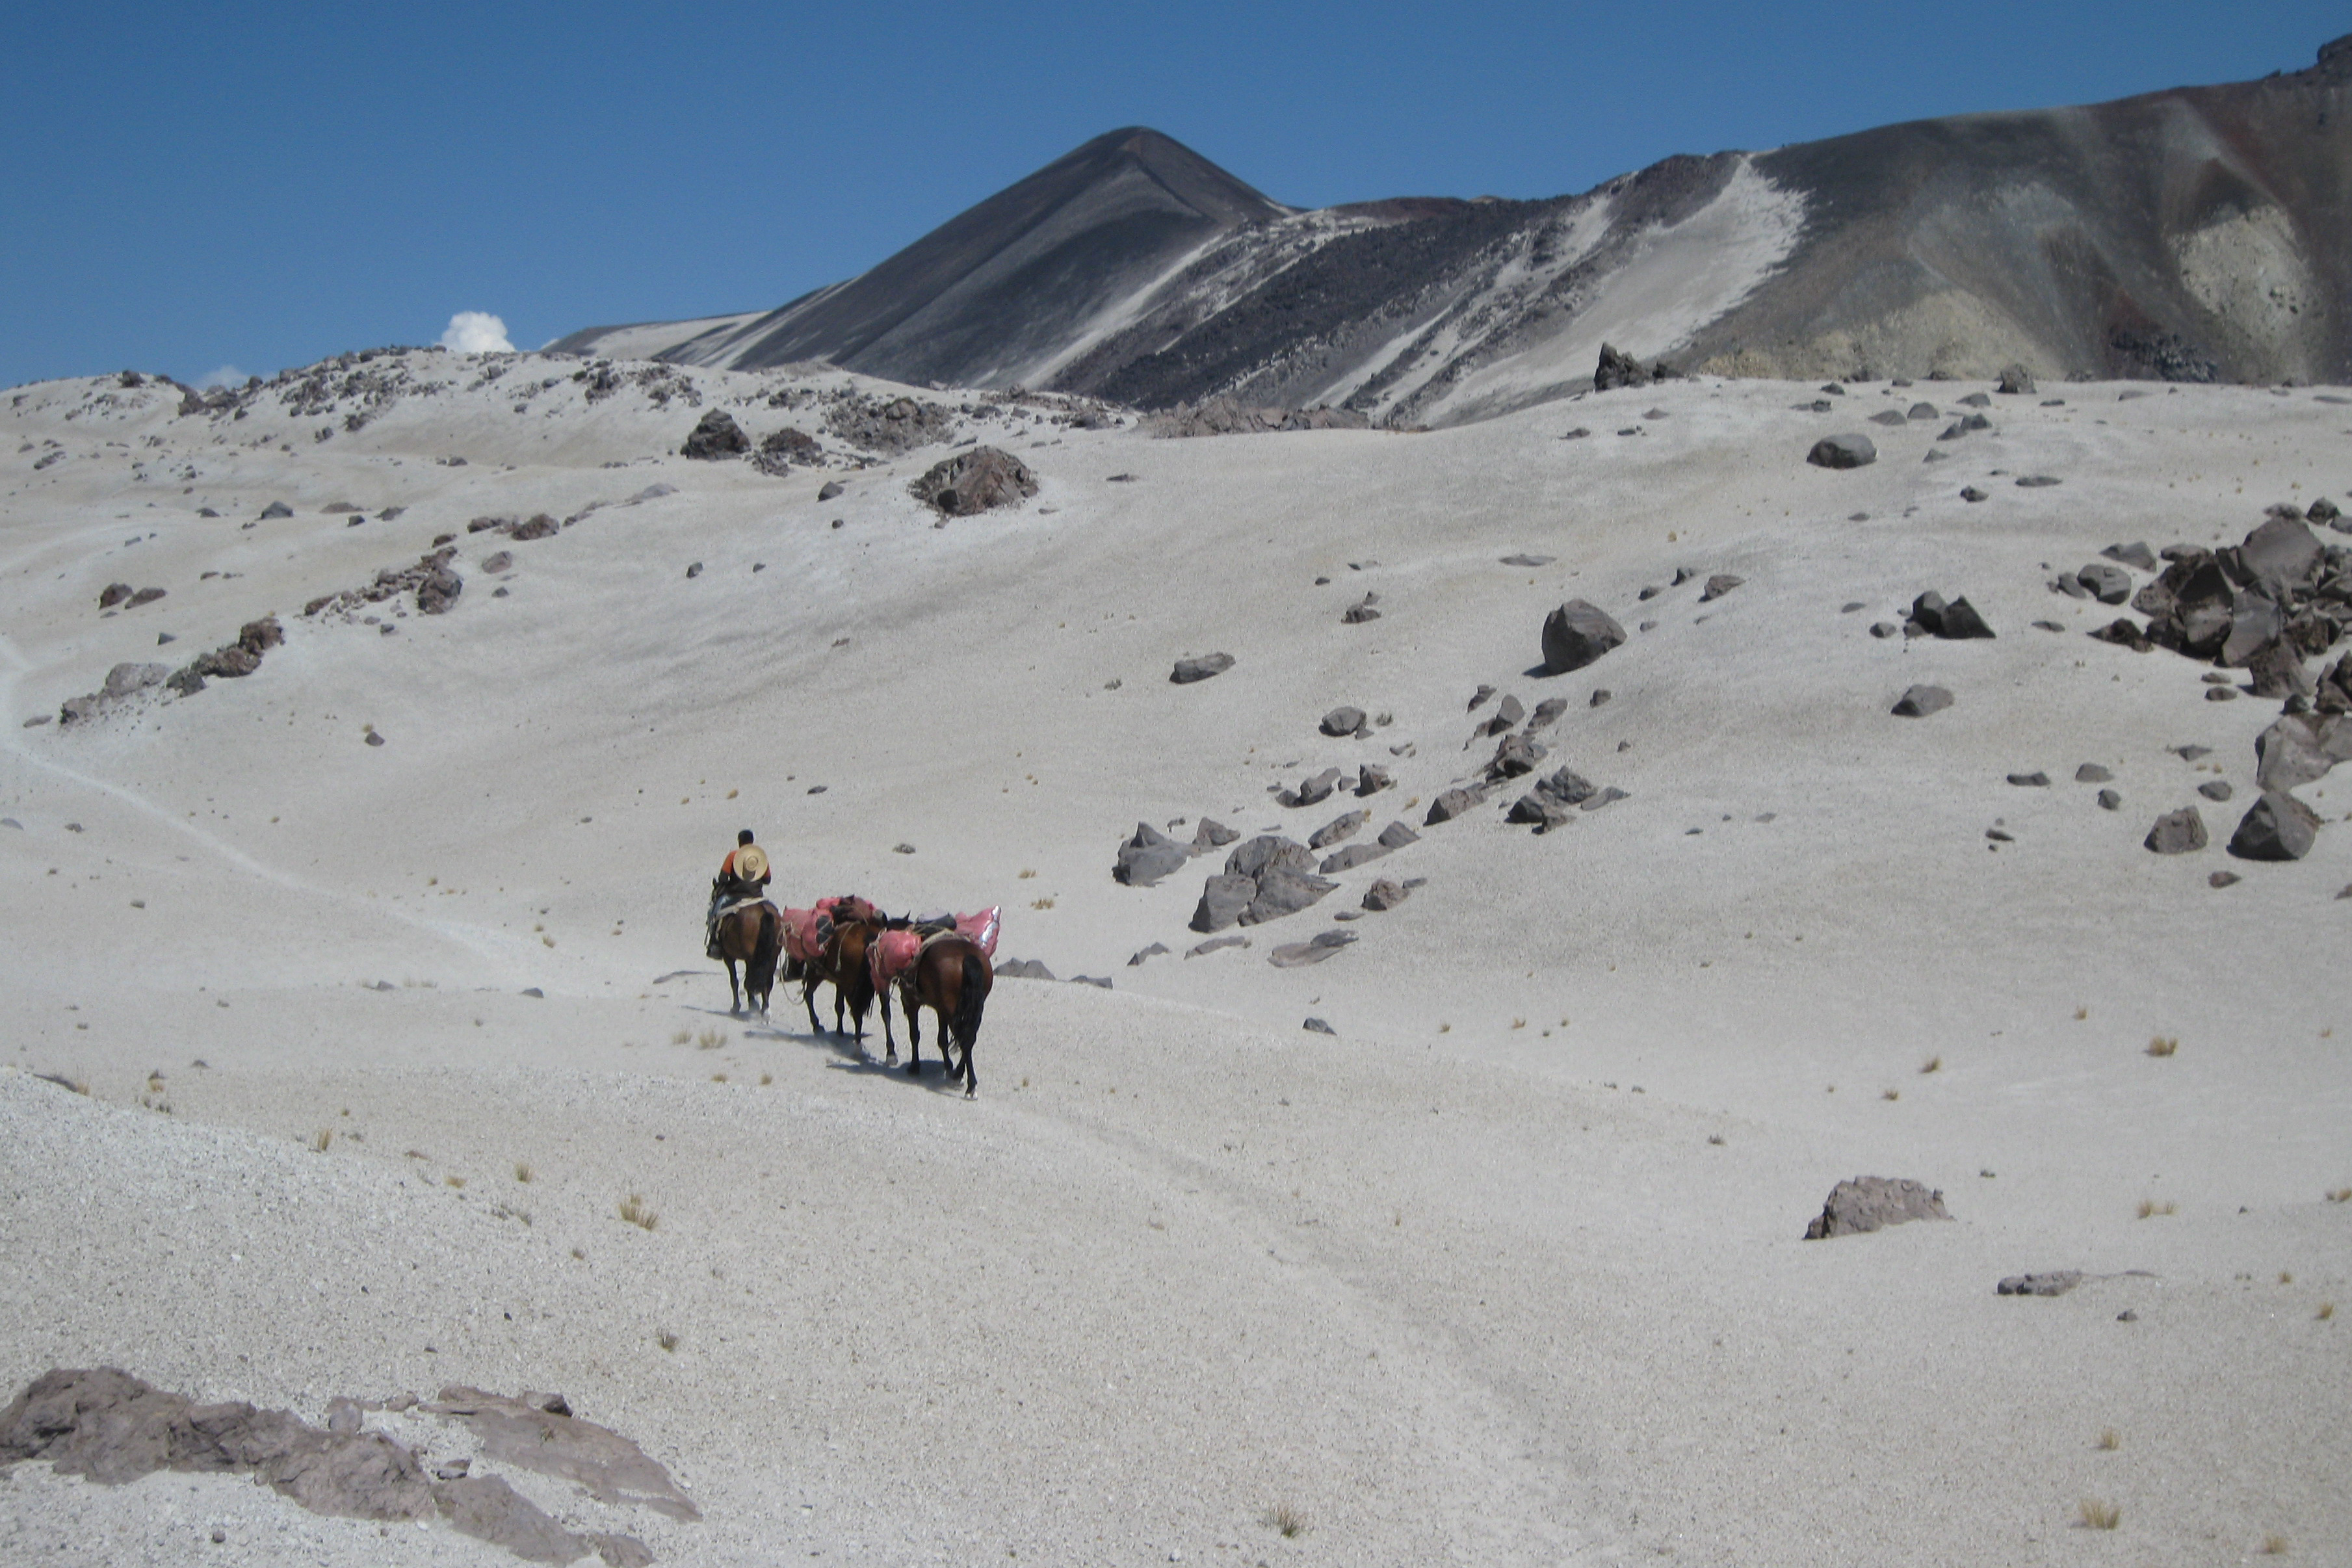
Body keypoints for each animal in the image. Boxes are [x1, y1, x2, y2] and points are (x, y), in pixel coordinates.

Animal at [713, 900, 782, 1018]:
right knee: (767, 982)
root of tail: (764, 911)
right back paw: (765, 1009)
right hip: (772, 958)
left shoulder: (729, 958)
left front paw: (737, 1007)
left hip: (751, 959)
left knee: (750, 981)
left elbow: (734, 981)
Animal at [878, 933, 992, 1097]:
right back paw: (959, 1075)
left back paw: (970, 1085)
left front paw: (915, 1066)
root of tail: (968, 957)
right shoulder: (941, 1010)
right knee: (969, 1039)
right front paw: (948, 1066)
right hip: (974, 1008)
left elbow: (915, 1035)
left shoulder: (911, 1003)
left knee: (965, 1040)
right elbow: (942, 1040)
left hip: (953, 1012)